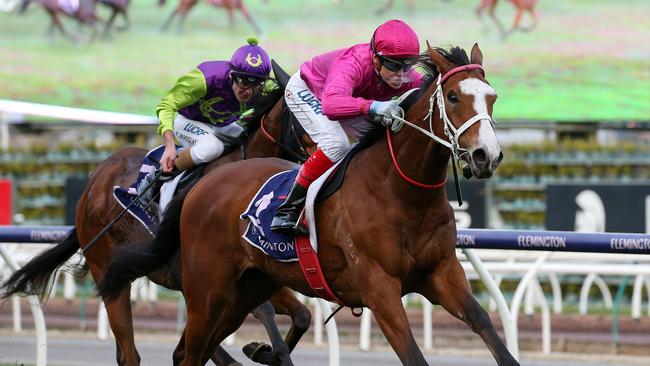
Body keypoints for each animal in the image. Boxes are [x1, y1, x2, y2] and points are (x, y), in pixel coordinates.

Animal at [0, 81, 312, 364]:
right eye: (304, 114)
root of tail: (94, 180)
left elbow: (302, 315)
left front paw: (264, 351)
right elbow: (264, 311)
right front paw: (265, 351)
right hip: (107, 272)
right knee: (130, 353)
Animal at [96, 45, 516, 366]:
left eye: (492, 97)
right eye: (454, 97)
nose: (487, 155)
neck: (400, 194)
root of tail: (202, 186)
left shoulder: (443, 273)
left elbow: (486, 326)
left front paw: (265, 350)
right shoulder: (380, 288)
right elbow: (413, 356)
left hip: (246, 290)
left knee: (190, 351)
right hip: (206, 292)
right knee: (186, 353)